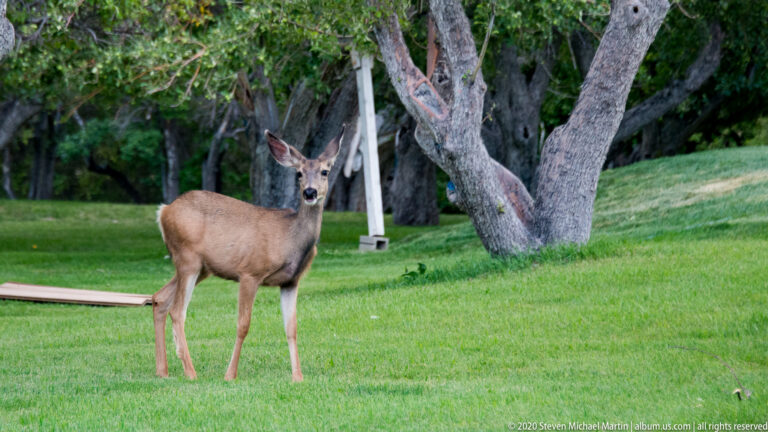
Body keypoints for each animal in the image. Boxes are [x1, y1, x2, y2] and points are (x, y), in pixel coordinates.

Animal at [152, 126, 344, 382]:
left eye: (325, 171)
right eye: (299, 174)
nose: (310, 192)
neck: (290, 239)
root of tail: (163, 211)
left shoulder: (291, 281)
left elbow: (291, 328)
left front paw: (298, 376)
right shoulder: (250, 272)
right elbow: (243, 325)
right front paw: (230, 374)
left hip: (201, 267)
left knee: (160, 298)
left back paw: (162, 371)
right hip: (187, 258)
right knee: (177, 310)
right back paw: (190, 372)